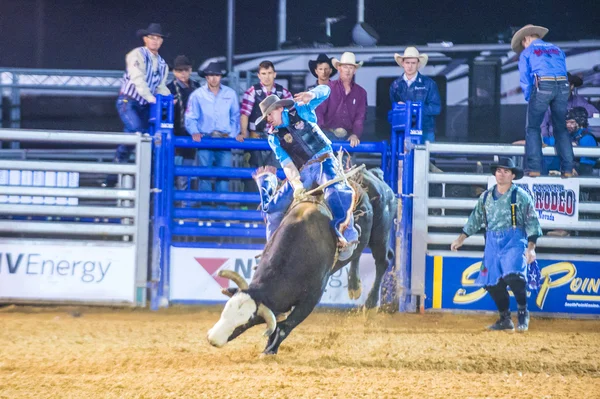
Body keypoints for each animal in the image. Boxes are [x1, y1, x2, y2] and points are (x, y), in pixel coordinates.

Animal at [206, 167, 398, 354]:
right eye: (225, 310)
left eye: (244, 323)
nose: (212, 339)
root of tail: (373, 174)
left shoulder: (311, 299)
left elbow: (285, 326)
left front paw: (270, 350)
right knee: (357, 253)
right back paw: (354, 286)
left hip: (380, 234)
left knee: (383, 261)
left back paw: (371, 305)